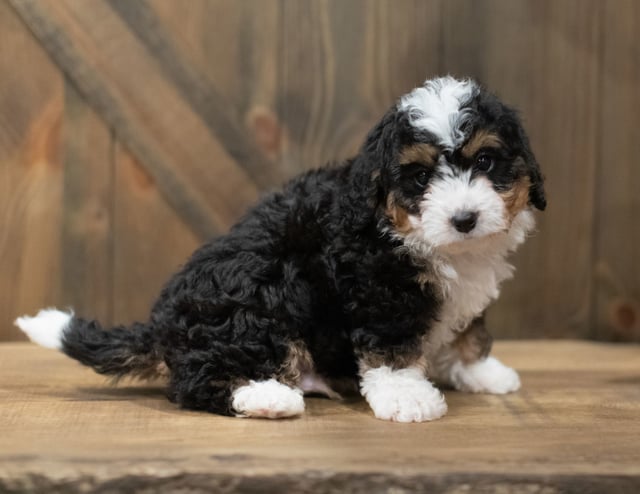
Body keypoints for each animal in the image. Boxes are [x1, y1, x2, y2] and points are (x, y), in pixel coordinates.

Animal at [15, 75, 544, 422]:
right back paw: (268, 397)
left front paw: (478, 370)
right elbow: (392, 348)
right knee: (194, 383)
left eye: (486, 161)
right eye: (418, 177)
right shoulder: (379, 288)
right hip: (261, 293)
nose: (464, 219)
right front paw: (407, 396)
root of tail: (161, 327)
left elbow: (468, 330)